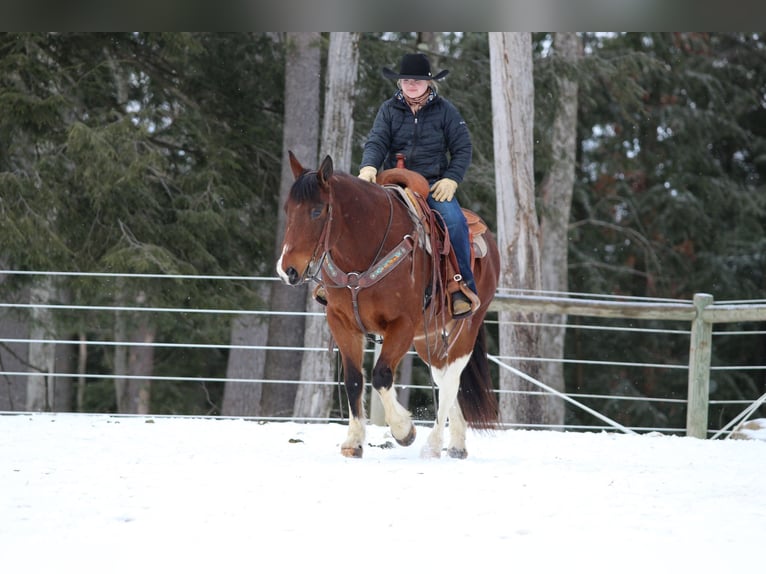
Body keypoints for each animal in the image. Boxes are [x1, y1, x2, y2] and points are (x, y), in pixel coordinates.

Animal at [276, 152, 504, 460]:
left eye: (317, 211)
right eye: (288, 209)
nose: (287, 269)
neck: (363, 254)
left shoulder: (402, 324)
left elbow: (381, 375)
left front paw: (404, 430)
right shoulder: (341, 322)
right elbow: (353, 379)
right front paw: (353, 441)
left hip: (468, 326)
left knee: (450, 381)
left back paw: (433, 444)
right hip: (429, 337)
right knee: (444, 376)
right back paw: (456, 444)